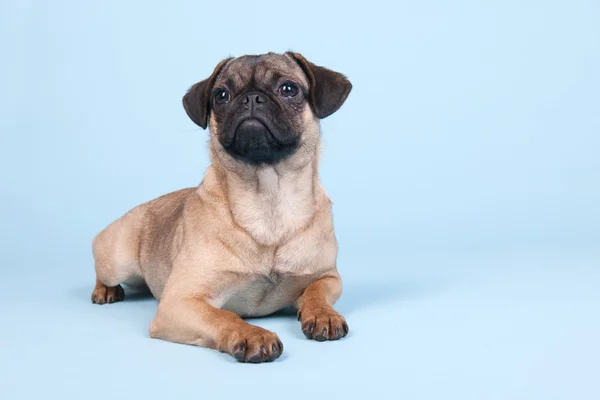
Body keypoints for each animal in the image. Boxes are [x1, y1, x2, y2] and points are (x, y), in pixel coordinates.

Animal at [89, 50, 352, 362]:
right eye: (221, 95)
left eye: (288, 89)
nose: (251, 98)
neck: (268, 200)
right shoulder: (180, 302)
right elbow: (224, 317)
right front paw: (252, 335)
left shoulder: (327, 277)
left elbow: (316, 292)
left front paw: (323, 314)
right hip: (117, 260)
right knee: (102, 271)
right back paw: (105, 291)